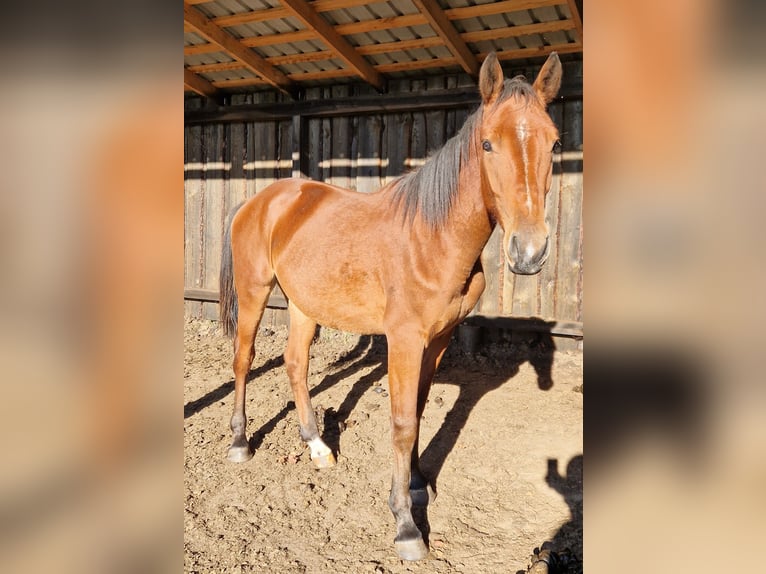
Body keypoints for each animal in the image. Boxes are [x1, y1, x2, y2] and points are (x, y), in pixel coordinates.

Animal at [219, 53, 560, 564]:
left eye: (554, 142)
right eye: (487, 143)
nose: (530, 251)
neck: (433, 236)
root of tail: (258, 201)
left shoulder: (437, 341)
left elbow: (417, 411)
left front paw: (419, 484)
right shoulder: (403, 340)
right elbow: (401, 423)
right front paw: (405, 524)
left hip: (304, 304)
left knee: (296, 364)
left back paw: (317, 445)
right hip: (255, 293)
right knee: (244, 360)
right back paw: (241, 442)